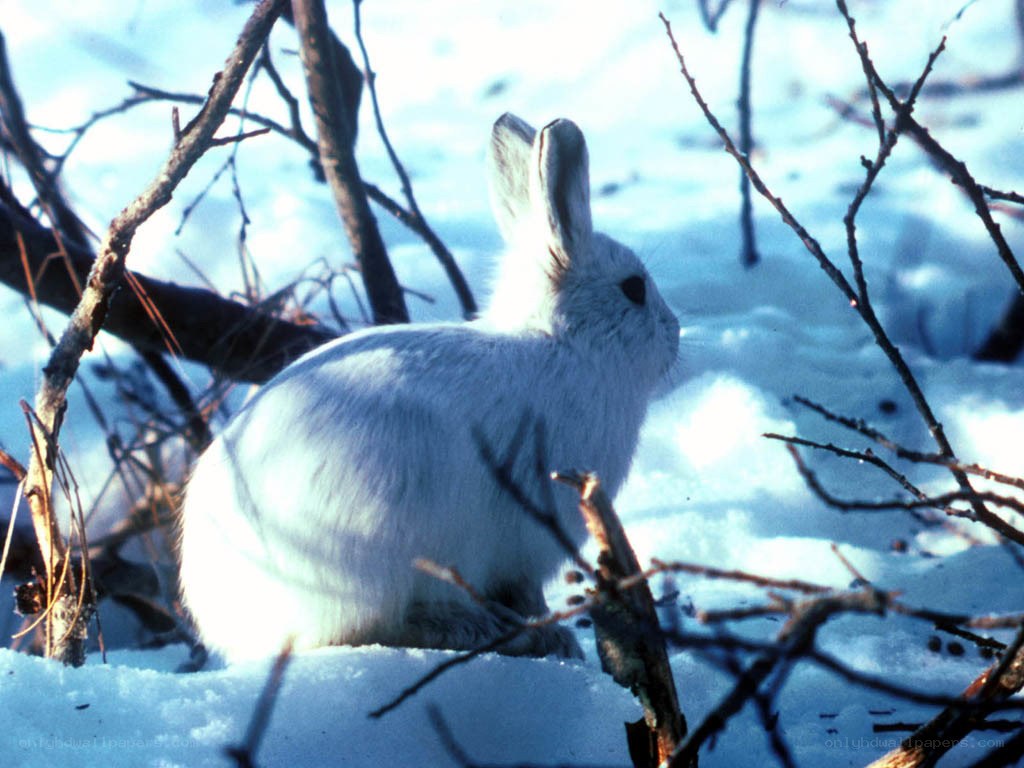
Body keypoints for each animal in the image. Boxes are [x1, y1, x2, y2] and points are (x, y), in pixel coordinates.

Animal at [177, 113, 680, 662]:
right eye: (634, 289)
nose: (675, 334)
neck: (563, 344)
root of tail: (237, 623)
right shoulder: (530, 536)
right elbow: (527, 591)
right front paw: (553, 632)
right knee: (365, 631)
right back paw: (481, 630)